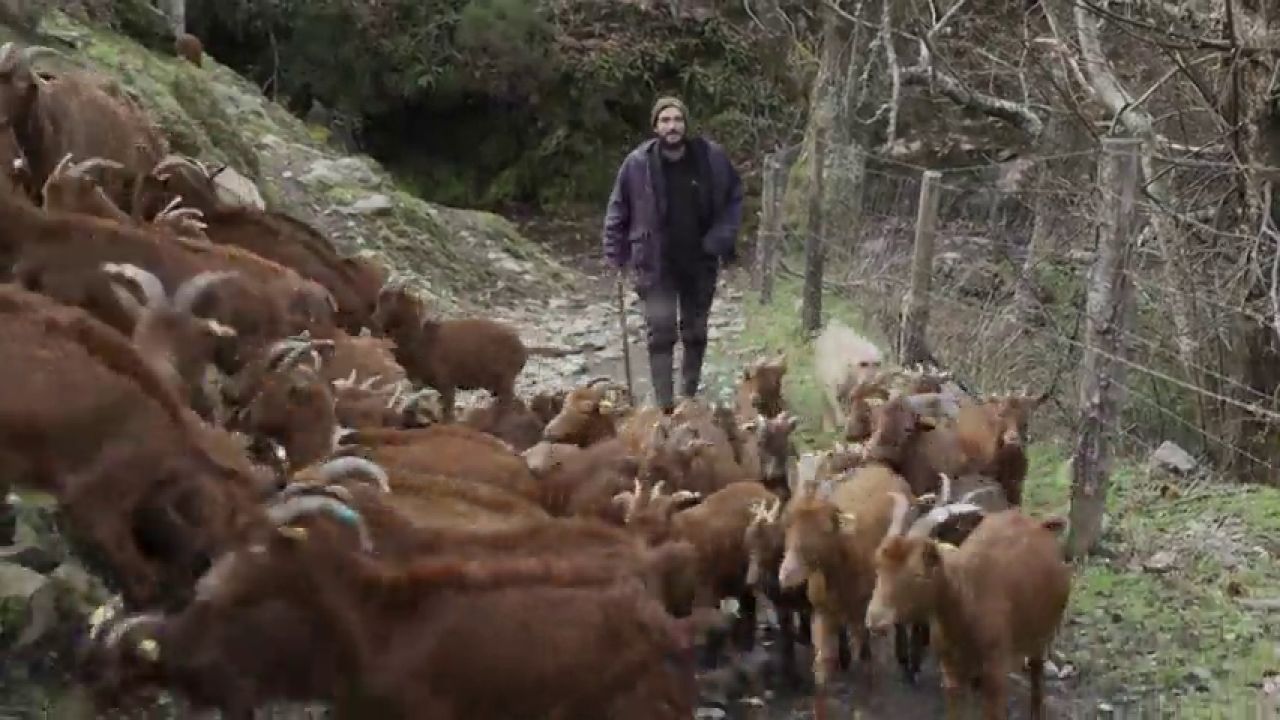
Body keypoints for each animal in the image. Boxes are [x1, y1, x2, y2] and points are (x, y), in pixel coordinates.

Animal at [870, 504, 1070, 717]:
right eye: (878, 566)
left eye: (918, 574)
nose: (875, 620)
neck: (967, 601)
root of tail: (1040, 524)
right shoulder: (951, 673)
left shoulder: (996, 672)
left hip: (1042, 633)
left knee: (1037, 671)